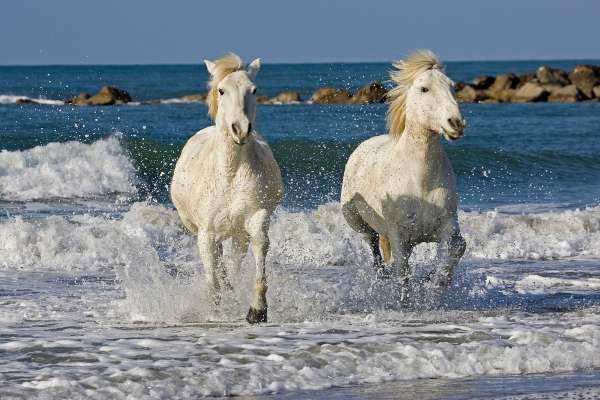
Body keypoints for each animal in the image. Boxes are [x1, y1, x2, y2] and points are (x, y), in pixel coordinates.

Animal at [171, 53, 284, 324]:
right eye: (221, 90)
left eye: (254, 90)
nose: (241, 129)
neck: (230, 174)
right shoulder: (206, 233)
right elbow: (212, 275)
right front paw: (215, 311)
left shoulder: (256, 216)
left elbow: (259, 246)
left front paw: (257, 310)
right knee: (220, 262)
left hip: (238, 232)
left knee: (232, 261)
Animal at [340, 50, 466, 292]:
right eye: (424, 89)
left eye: (452, 86)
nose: (456, 123)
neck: (421, 181)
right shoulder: (399, 236)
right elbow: (402, 273)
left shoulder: (446, 226)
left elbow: (457, 247)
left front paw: (437, 280)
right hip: (357, 220)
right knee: (373, 246)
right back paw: (381, 276)